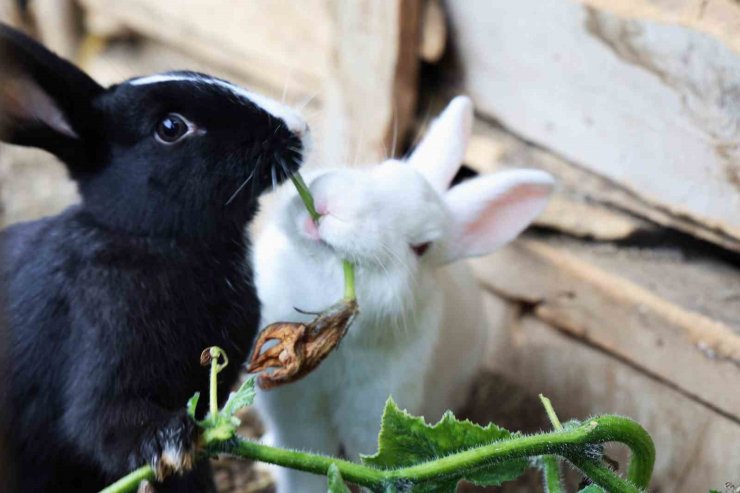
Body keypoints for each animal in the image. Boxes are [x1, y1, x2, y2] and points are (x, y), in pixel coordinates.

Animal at [0, 25, 306, 490]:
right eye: (171, 127)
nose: (298, 127)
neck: (154, 241)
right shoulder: (100, 369)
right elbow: (100, 424)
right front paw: (169, 443)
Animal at [251, 96, 552, 492]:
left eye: (420, 247)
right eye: (380, 169)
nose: (332, 206)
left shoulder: (370, 417)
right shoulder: (295, 414)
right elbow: (301, 468)